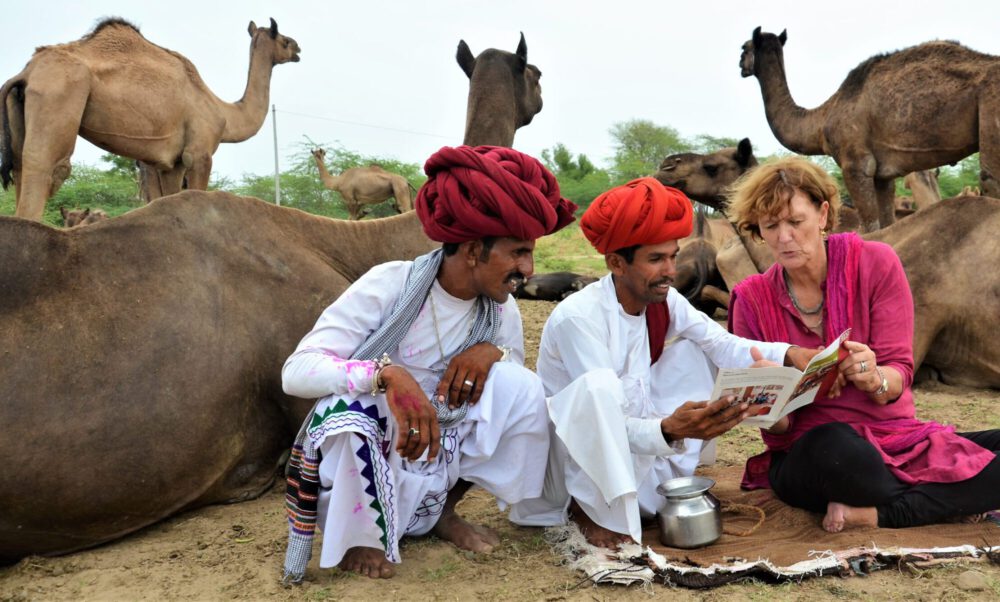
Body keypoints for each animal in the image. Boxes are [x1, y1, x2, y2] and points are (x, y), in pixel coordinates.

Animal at [0, 18, 301, 221]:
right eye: (283, 39)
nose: (298, 48)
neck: (224, 112)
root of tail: (26, 73)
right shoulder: (199, 153)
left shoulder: (171, 164)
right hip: (58, 94)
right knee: (47, 167)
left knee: (20, 168)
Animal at [740, 27, 1000, 231]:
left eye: (744, 48)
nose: (740, 66)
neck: (822, 119)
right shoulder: (883, 175)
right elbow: (886, 224)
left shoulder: (855, 165)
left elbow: (870, 227)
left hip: (990, 104)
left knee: (989, 178)